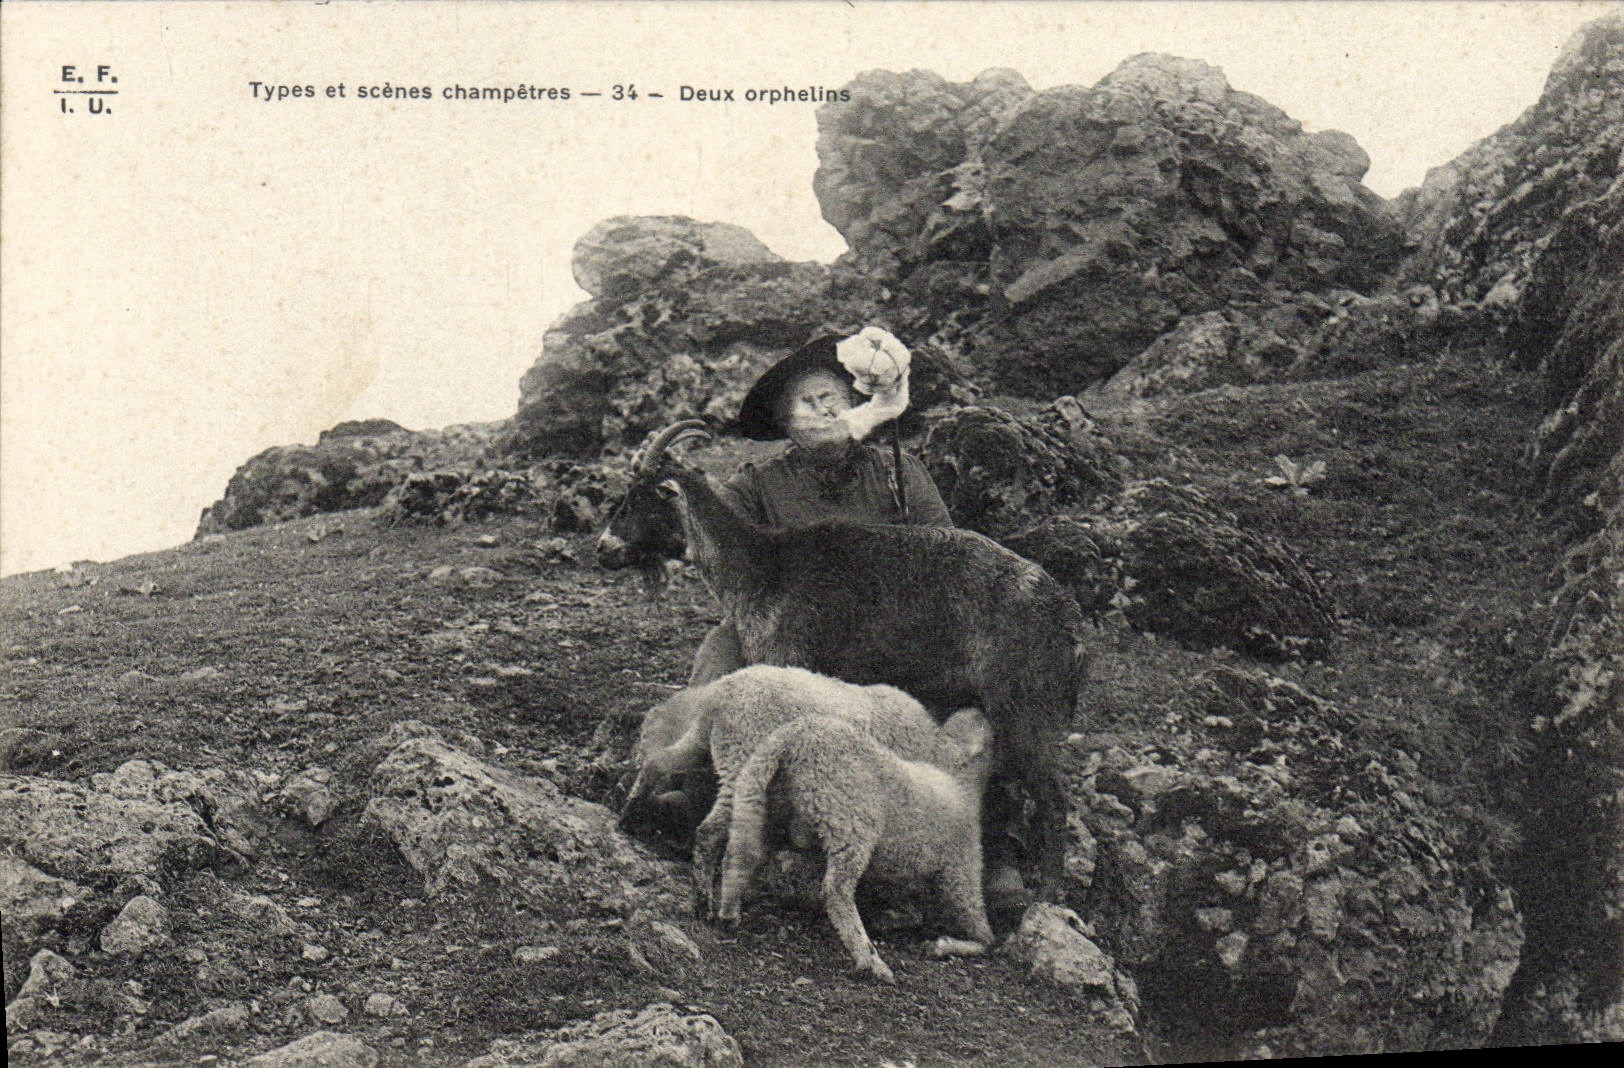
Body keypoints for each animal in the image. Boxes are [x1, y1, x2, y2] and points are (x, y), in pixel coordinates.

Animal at [597, 419, 1087, 897]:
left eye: (637, 498)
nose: (602, 548)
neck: (764, 567)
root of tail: (1068, 618)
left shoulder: (792, 662)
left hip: (1025, 709)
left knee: (1053, 796)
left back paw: (1049, 891)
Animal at [717, 708, 996, 983]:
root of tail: (791, 738)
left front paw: (894, 920)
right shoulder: (961, 864)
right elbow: (984, 937)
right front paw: (943, 944)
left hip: (770, 801)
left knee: (740, 855)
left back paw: (728, 911)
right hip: (851, 818)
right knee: (836, 890)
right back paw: (870, 960)